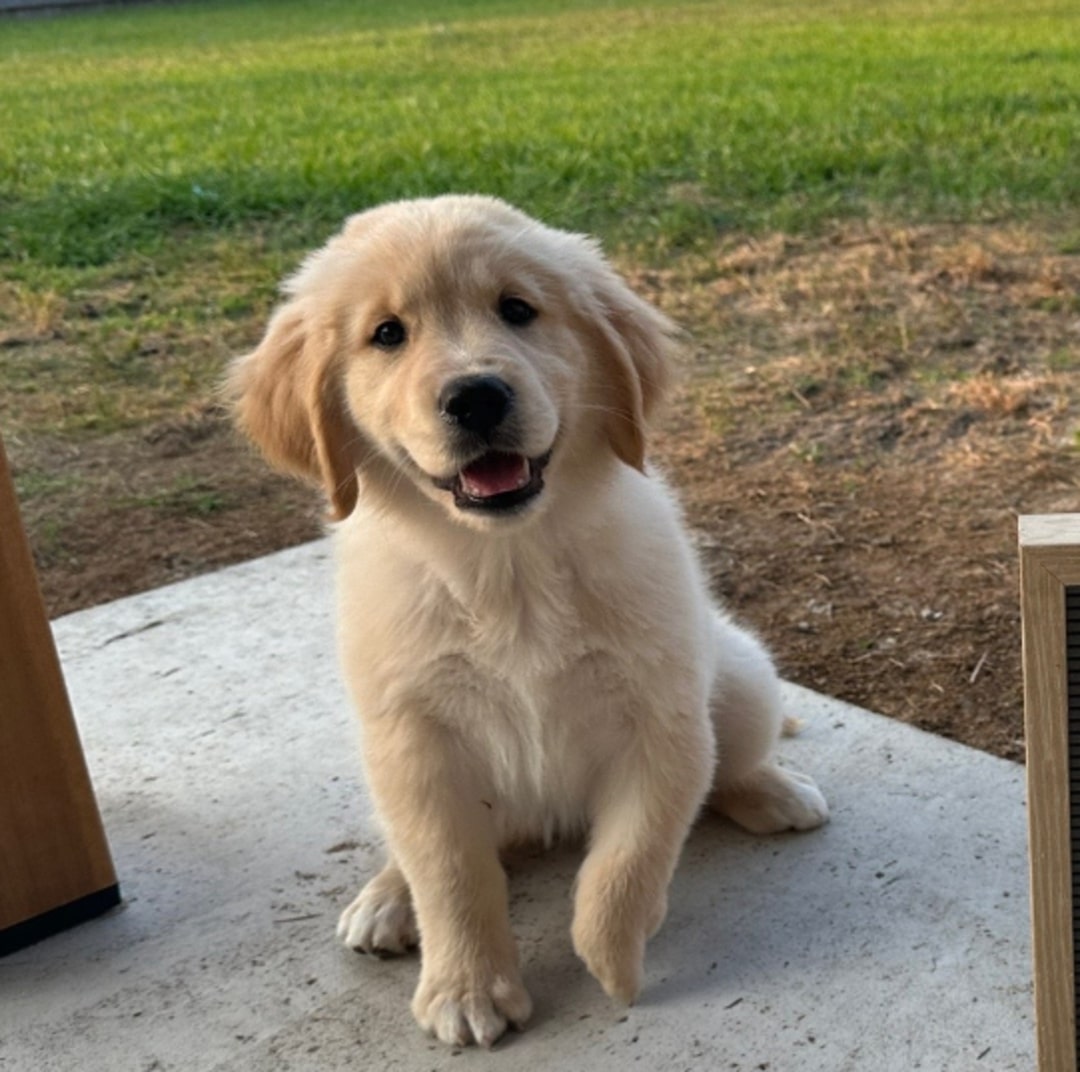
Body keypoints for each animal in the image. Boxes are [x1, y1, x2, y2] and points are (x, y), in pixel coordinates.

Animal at [230, 196, 825, 1049]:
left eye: (518, 310)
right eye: (387, 333)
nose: (476, 396)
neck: (506, 565)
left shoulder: (662, 718)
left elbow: (628, 859)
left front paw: (616, 958)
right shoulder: (414, 740)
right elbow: (450, 869)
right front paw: (466, 987)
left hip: (741, 678)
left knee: (731, 764)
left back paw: (775, 792)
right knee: (430, 849)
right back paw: (386, 900)